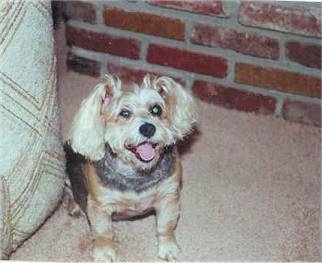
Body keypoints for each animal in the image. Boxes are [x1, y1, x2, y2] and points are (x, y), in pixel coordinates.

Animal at [63, 73, 196, 262]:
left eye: (156, 109)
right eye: (124, 113)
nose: (148, 128)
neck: (136, 174)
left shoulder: (169, 197)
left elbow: (165, 227)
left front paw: (168, 248)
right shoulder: (99, 206)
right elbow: (103, 233)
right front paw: (104, 253)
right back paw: (74, 206)